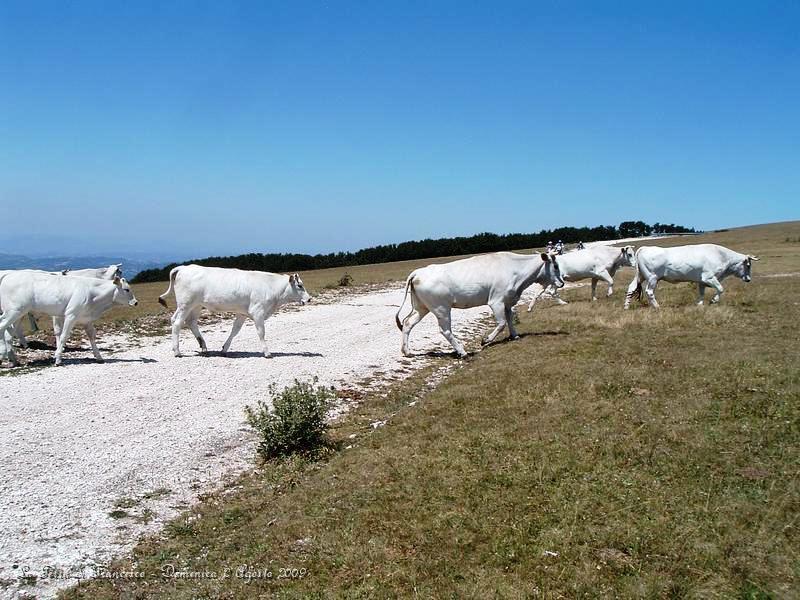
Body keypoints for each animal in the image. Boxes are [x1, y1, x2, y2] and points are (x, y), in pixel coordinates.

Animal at [0, 272, 138, 366]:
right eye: (126, 289)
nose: (136, 302)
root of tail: (9, 274)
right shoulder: (71, 315)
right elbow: (64, 336)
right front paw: (58, 359)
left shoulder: (86, 319)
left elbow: (92, 336)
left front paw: (99, 357)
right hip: (13, 311)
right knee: (2, 327)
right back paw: (3, 355)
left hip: (18, 314)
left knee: (8, 334)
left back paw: (14, 360)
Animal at [396, 252, 564, 358]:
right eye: (555, 266)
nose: (562, 283)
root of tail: (418, 273)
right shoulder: (496, 301)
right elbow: (501, 323)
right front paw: (486, 340)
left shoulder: (507, 301)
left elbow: (510, 319)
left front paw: (515, 336)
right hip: (441, 308)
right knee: (445, 330)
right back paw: (462, 352)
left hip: (422, 307)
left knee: (408, 323)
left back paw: (407, 351)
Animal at [620, 244, 760, 310]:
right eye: (748, 265)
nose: (748, 279)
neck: (721, 256)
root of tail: (644, 248)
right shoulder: (709, 278)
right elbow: (720, 289)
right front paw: (713, 301)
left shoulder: (701, 281)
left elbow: (702, 293)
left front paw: (700, 304)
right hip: (652, 278)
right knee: (649, 291)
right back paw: (657, 307)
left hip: (640, 276)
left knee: (631, 287)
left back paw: (626, 306)